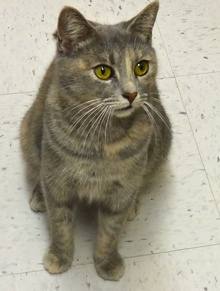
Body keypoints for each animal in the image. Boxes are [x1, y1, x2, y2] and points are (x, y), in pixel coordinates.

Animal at [19, 0, 172, 282]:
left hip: (160, 149)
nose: (131, 94)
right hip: (28, 135)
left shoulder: (122, 190)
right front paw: (60, 256)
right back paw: (38, 196)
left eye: (141, 67)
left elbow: (110, 231)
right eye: (103, 71)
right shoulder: (58, 182)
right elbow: (60, 225)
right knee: (37, 169)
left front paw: (107, 262)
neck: (102, 140)